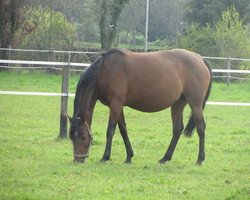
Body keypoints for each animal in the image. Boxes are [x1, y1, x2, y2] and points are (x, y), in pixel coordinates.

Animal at [69, 48, 213, 164]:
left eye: (83, 137)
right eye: (71, 137)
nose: (78, 160)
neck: (104, 71)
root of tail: (200, 59)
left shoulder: (116, 104)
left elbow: (110, 130)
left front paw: (105, 157)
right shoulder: (118, 106)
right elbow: (123, 130)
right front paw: (129, 157)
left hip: (195, 103)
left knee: (201, 128)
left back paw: (200, 159)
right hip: (178, 104)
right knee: (177, 129)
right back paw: (165, 158)